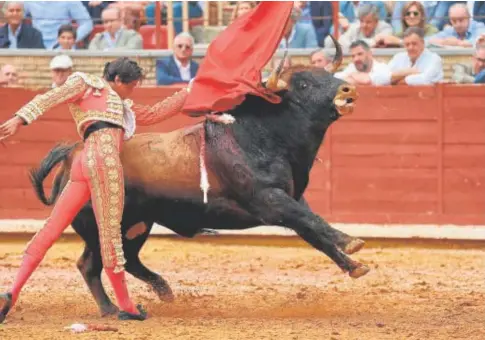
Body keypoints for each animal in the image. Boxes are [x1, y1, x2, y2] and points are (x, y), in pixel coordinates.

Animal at [29, 61, 366, 316]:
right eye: (304, 84)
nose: (348, 89)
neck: (263, 135)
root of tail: (73, 153)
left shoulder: (291, 201)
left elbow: (314, 231)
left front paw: (353, 266)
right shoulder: (270, 200)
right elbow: (315, 223)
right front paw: (351, 242)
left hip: (137, 225)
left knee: (124, 260)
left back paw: (162, 291)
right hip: (102, 224)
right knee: (93, 264)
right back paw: (111, 309)